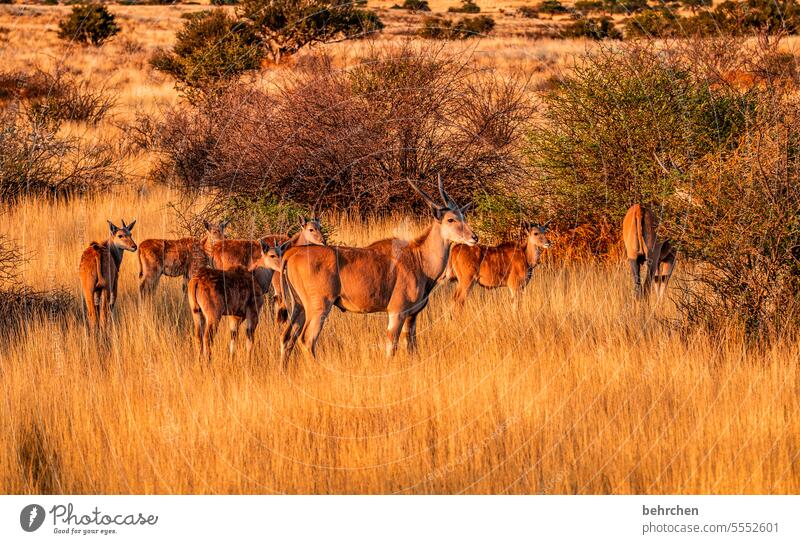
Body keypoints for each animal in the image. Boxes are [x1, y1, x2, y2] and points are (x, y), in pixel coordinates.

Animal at [282, 176, 478, 368]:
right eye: (450, 219)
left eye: (463, 216)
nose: (474, 237)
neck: (418, 258)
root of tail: (292, 253)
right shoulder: (397, 312)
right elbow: (391, 348)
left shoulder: (411, 316)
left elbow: (411, 348)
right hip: (319, 307)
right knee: (307, 340)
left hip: (299, 306)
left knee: (288, 338)